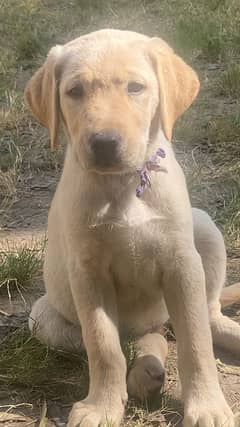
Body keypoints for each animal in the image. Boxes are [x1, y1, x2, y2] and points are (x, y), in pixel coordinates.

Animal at [24, 30, 240, 427]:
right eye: (74, 91)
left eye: (136, 87)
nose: (104, 144)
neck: (123, 184)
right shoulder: (88, 272)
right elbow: (103, 346)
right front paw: (102, 407)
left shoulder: (182, 263)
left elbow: (196, 342)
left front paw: (207, 405)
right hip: (42, 318)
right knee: (134, 341)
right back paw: (144, 372)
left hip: (204, 229)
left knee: (208, 317)